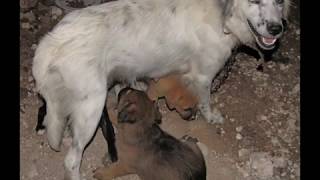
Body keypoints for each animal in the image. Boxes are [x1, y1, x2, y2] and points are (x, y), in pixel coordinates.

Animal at [31, 0, 290, 179]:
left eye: (279, 2)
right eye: (254, 1)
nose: (276, 29)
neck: (223, 16)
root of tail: (52, 41)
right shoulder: (204, 75)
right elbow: (205, 101)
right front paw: (211, 116)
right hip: (91, 110)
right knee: (71, 160)